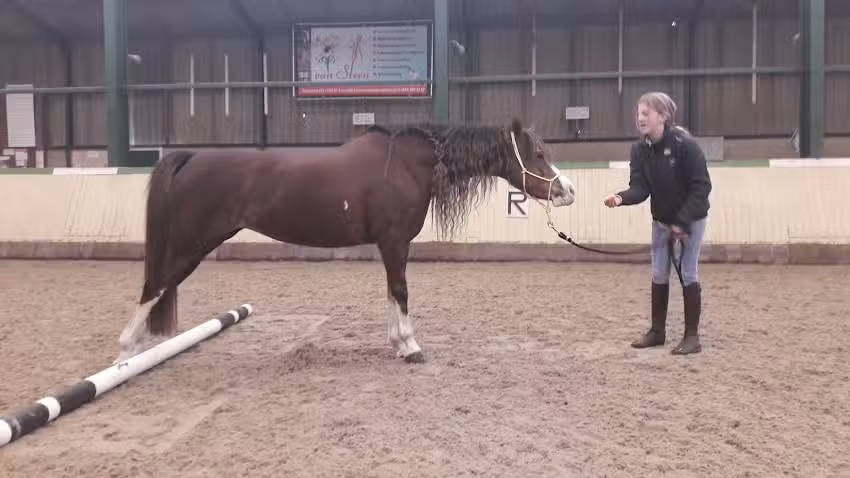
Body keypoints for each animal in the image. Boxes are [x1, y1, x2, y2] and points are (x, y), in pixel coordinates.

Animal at [113, 117, 577, 365]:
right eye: (537, 154)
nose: (567, 190)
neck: (407, 165)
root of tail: (193, 158)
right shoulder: (395, 243)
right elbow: (401, 292)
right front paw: (411, 348)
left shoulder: (390, 246)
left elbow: (391, 293)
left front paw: (398, 344)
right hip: (191, 246)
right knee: (154, 286)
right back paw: (123, 358)